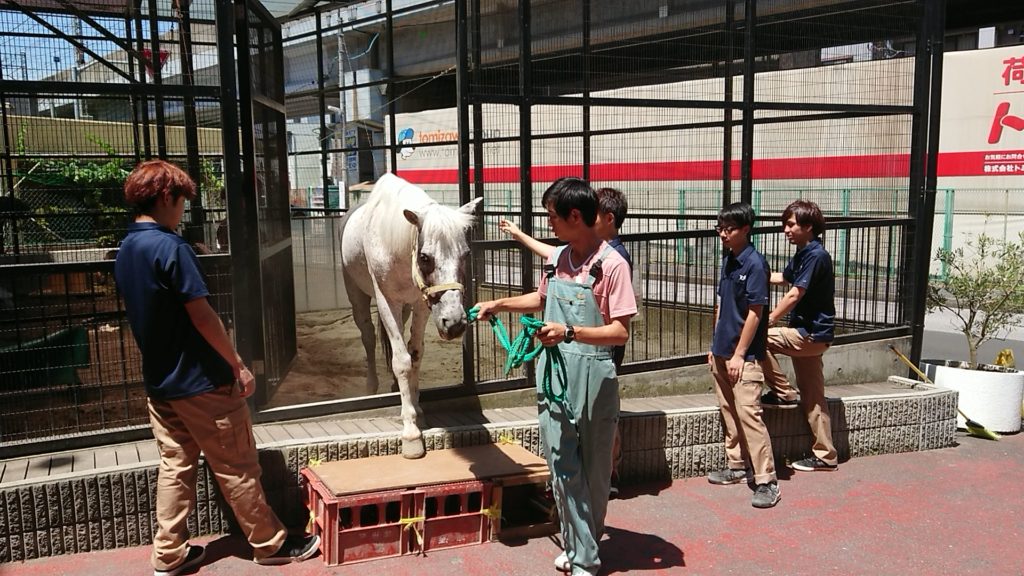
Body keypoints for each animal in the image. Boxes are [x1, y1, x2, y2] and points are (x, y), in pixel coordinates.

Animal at [335, 171, 479, 457]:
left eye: (466, 254)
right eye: (425, 257)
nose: (455, 323)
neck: (398, 248)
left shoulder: (421, 304)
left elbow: (415, 354)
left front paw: (416, 406)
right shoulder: (386, 301)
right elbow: (401, 360)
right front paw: (411, 432)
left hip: (404, 308)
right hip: (357, 294)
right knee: (368, 336)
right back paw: (371, 388)